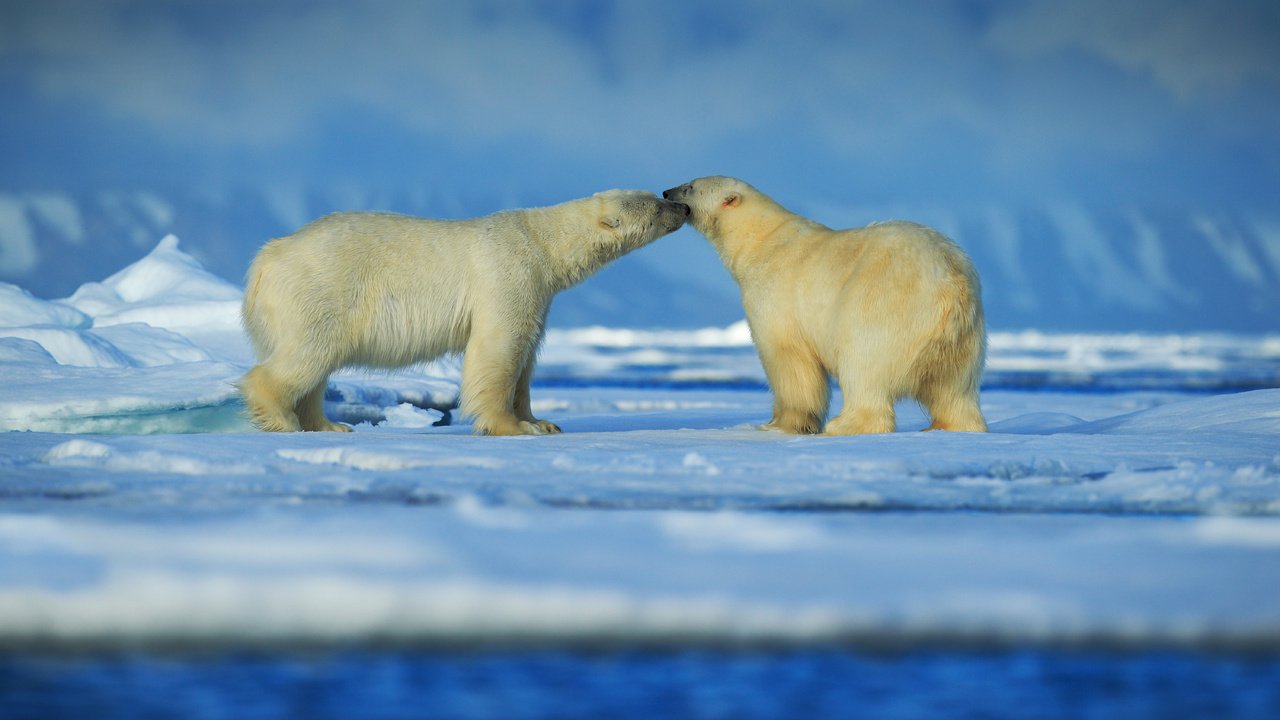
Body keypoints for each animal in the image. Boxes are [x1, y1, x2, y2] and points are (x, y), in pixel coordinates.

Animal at [244, 189, 696, 430]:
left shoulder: (540, 292)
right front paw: (513, 427)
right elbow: (500, 348)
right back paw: (283, 419)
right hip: (323, 288)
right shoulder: (509, 272)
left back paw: (327, 423)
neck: (543, 243)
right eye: (655, 204)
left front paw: (542, 421)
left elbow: (527, 356)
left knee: (316, 368)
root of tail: (267, 257)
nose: (682, 206)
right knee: (306, 356)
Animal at [665, 176, 983, 435]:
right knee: (955, 390)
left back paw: (844, 424)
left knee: (863, 365)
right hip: (963, 338)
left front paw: (781, 424)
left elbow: (787, 359)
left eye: (690, 186)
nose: (667, 192)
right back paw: (952, 426)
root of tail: (950, 283)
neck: (759, 241)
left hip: (884, 306)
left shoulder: (775, 295)